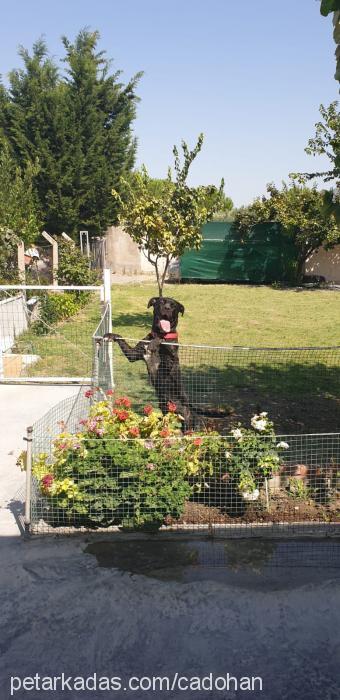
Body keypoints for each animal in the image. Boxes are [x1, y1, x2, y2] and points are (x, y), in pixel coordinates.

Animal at [103, 296, 195, 426]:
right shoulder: (133, 354)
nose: (167, 308)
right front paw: (111, 335)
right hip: (165, 410)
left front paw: (156, 342)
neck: (159, 332)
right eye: (161, 302)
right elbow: (122, 339)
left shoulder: (170, 360)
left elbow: (162, 342)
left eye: (173, 306)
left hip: (185, 415)